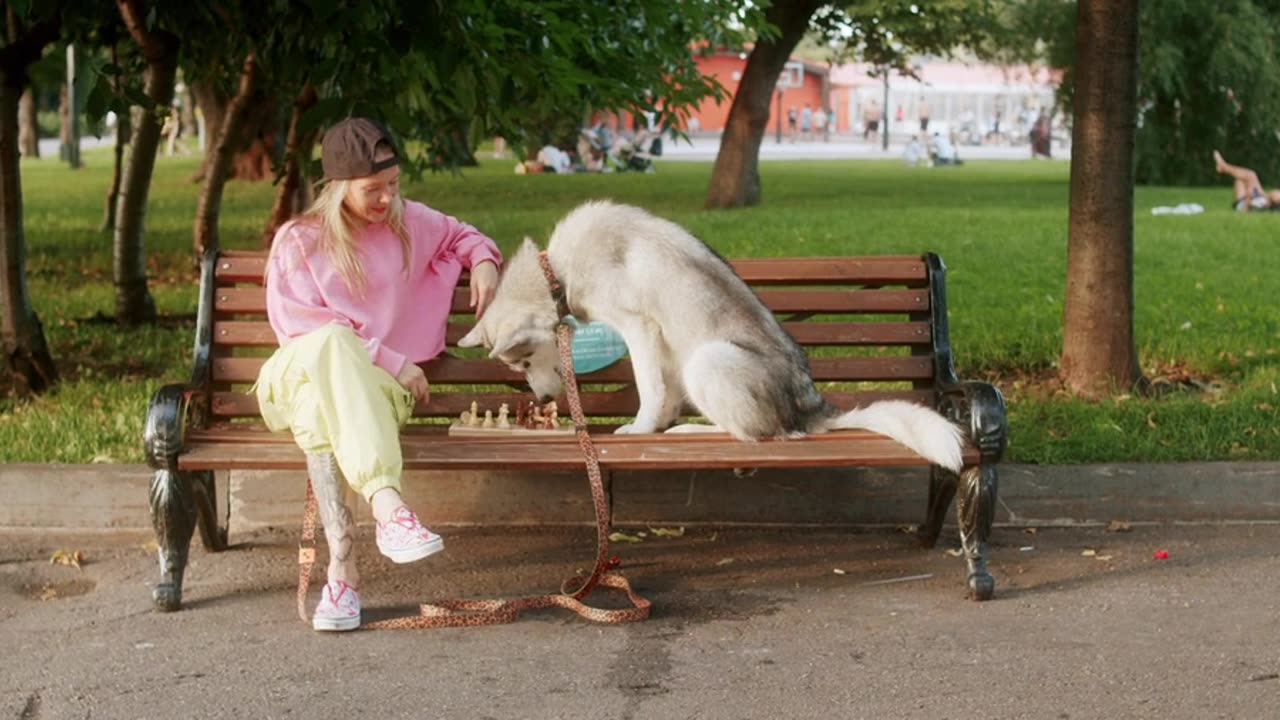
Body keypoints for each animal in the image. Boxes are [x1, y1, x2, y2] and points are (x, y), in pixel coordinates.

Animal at [455, 202, 962, 471]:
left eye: (522, 362)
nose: (542, 401)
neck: (556, 271)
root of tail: (811, 407)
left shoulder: (638, 328)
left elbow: (648, 390)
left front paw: (643, 429)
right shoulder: (659, 345)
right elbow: (662, 391)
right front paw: (657, 423)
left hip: (707, 360)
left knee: (755, 435)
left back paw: (692, 429)